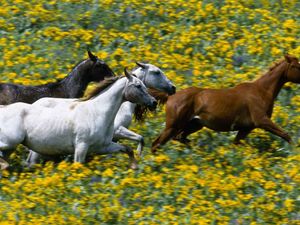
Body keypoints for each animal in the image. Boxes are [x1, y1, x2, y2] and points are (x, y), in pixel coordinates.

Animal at [0, 69, 157, 170]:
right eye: (138, 86)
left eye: (144, 85)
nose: (154, 102)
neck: (96, 113)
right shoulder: (81, 147)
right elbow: (78, 166)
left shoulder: (103, 146)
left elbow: (127, 149)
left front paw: (134, 166)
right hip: (10, 143)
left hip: (16, 148)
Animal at [152, 54, 300, 153]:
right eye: (295, 66)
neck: (261, 91)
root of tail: (171, 96)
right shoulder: (262, 121)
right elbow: (286, 134)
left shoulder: (246, 128)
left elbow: (236, 143)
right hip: (173, 125)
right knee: (157, 143)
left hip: (194, 124)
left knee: (179, 138)